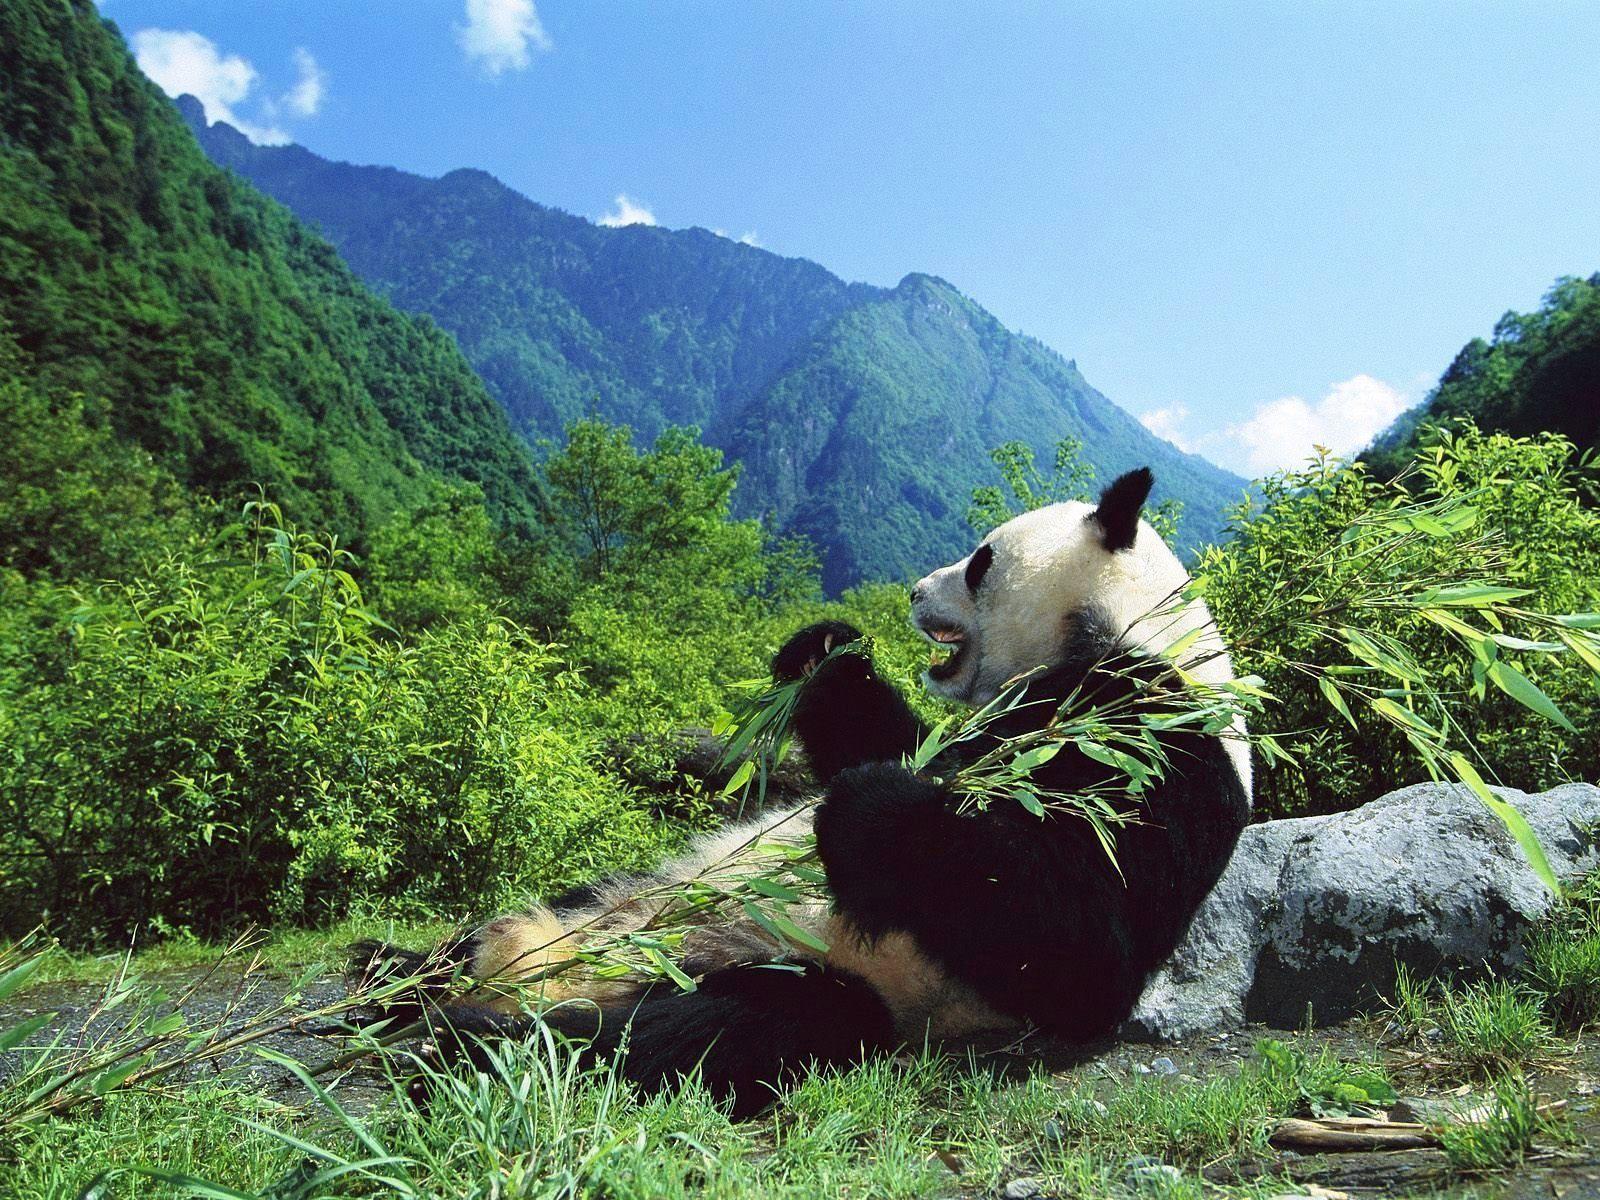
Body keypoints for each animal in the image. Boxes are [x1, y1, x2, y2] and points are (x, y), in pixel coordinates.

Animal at [356, 467, 1252, 1116]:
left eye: (979, 561)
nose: (913, 592)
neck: (1123, 631)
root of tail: (560, 967)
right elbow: (892, 735)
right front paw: (824, 648)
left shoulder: (1158, 745)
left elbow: (1083, 946)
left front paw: (872, 807)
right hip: (630, 888)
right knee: (527, 923)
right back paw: (394, 973)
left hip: (813, 971)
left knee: (716, 1029)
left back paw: (471, 1039)